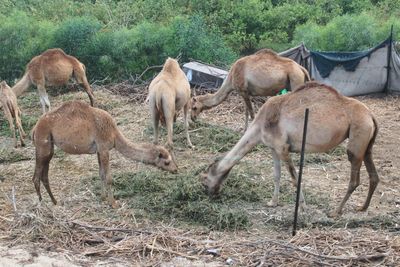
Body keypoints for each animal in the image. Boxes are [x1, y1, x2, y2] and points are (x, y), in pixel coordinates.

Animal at [29, 100, 177, 207]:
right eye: (167, 162)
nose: (176, 170)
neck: (114, 134)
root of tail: (35, 127)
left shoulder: (99, 150)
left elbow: (101, 174)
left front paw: (103, 197)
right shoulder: (105, 148)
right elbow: (109, 177)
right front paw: (114, 203)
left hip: (49, 148)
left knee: (44, 175)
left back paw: (55, 202)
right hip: (42, 144)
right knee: (36, 177)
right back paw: (42, 205)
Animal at [203, 82, 378, 219]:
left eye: (204, 180)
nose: (208, 193)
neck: (260, 125)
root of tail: (371, 115)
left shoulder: (283, 147)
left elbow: (294, 179)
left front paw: (303, 208)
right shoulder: (273, 148)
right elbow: (276, 175)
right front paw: (273, 202)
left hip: (357, 137)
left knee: (354, 179)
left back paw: (335, 212)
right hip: (367, 144)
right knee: (374, 176)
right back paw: (362, 207)